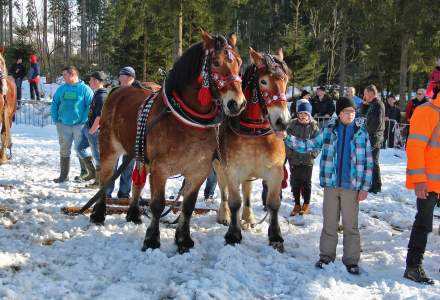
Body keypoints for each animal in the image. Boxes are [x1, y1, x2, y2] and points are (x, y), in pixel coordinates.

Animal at [90, 31, 248, 253]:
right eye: (216, 62)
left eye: (240, 62)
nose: (237, 104)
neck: (186, 121)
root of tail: (118, 90)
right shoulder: (160, 169)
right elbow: (158, 205)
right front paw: (152, 240)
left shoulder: (198, 171)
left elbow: (188, 207)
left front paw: (183, 239)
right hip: (109, 147)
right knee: (105, 178)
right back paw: (98, 214)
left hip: (138, 153)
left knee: (136, 181)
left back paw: (133, 214)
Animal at [214, 48, 290, 252]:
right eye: (263, 81)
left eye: (286, 80)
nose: (282, 121)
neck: (254, 132)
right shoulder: (231, 170)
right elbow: (234, 202)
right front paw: (233, 234)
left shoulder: (276, 172)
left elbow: (273, 204)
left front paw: (276, 237)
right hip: (218, 166)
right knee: (223, 189)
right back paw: (223, 214)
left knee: (247, 189)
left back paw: (248, 217)